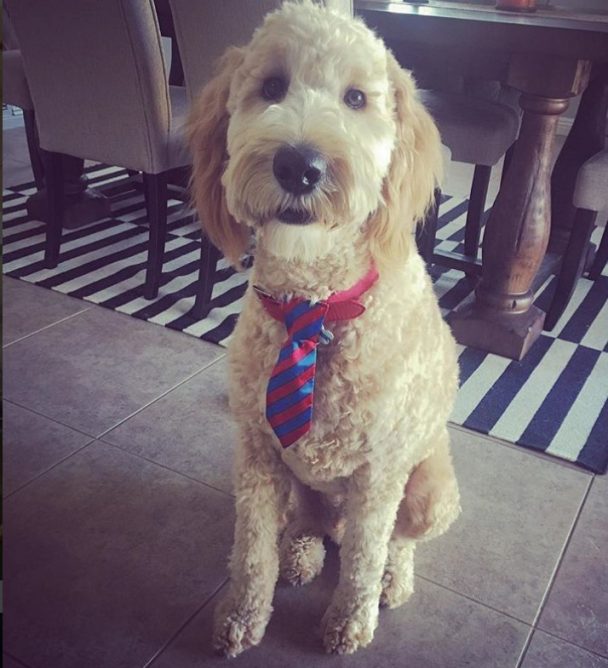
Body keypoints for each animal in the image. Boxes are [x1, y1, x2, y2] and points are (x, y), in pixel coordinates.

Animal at [189, 0, 460, 656]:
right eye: (270, 87)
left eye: (357, 98)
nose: (299, 165)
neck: (314, 303)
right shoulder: (258, 454)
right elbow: (251, 550)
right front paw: (241, 617)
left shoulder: (379, 473)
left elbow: (363, 558)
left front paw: (348, 624)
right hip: (300, 484)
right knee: (308, 526)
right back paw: (302, 553)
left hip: (429, 491)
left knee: (394, 541)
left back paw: (393, 577)